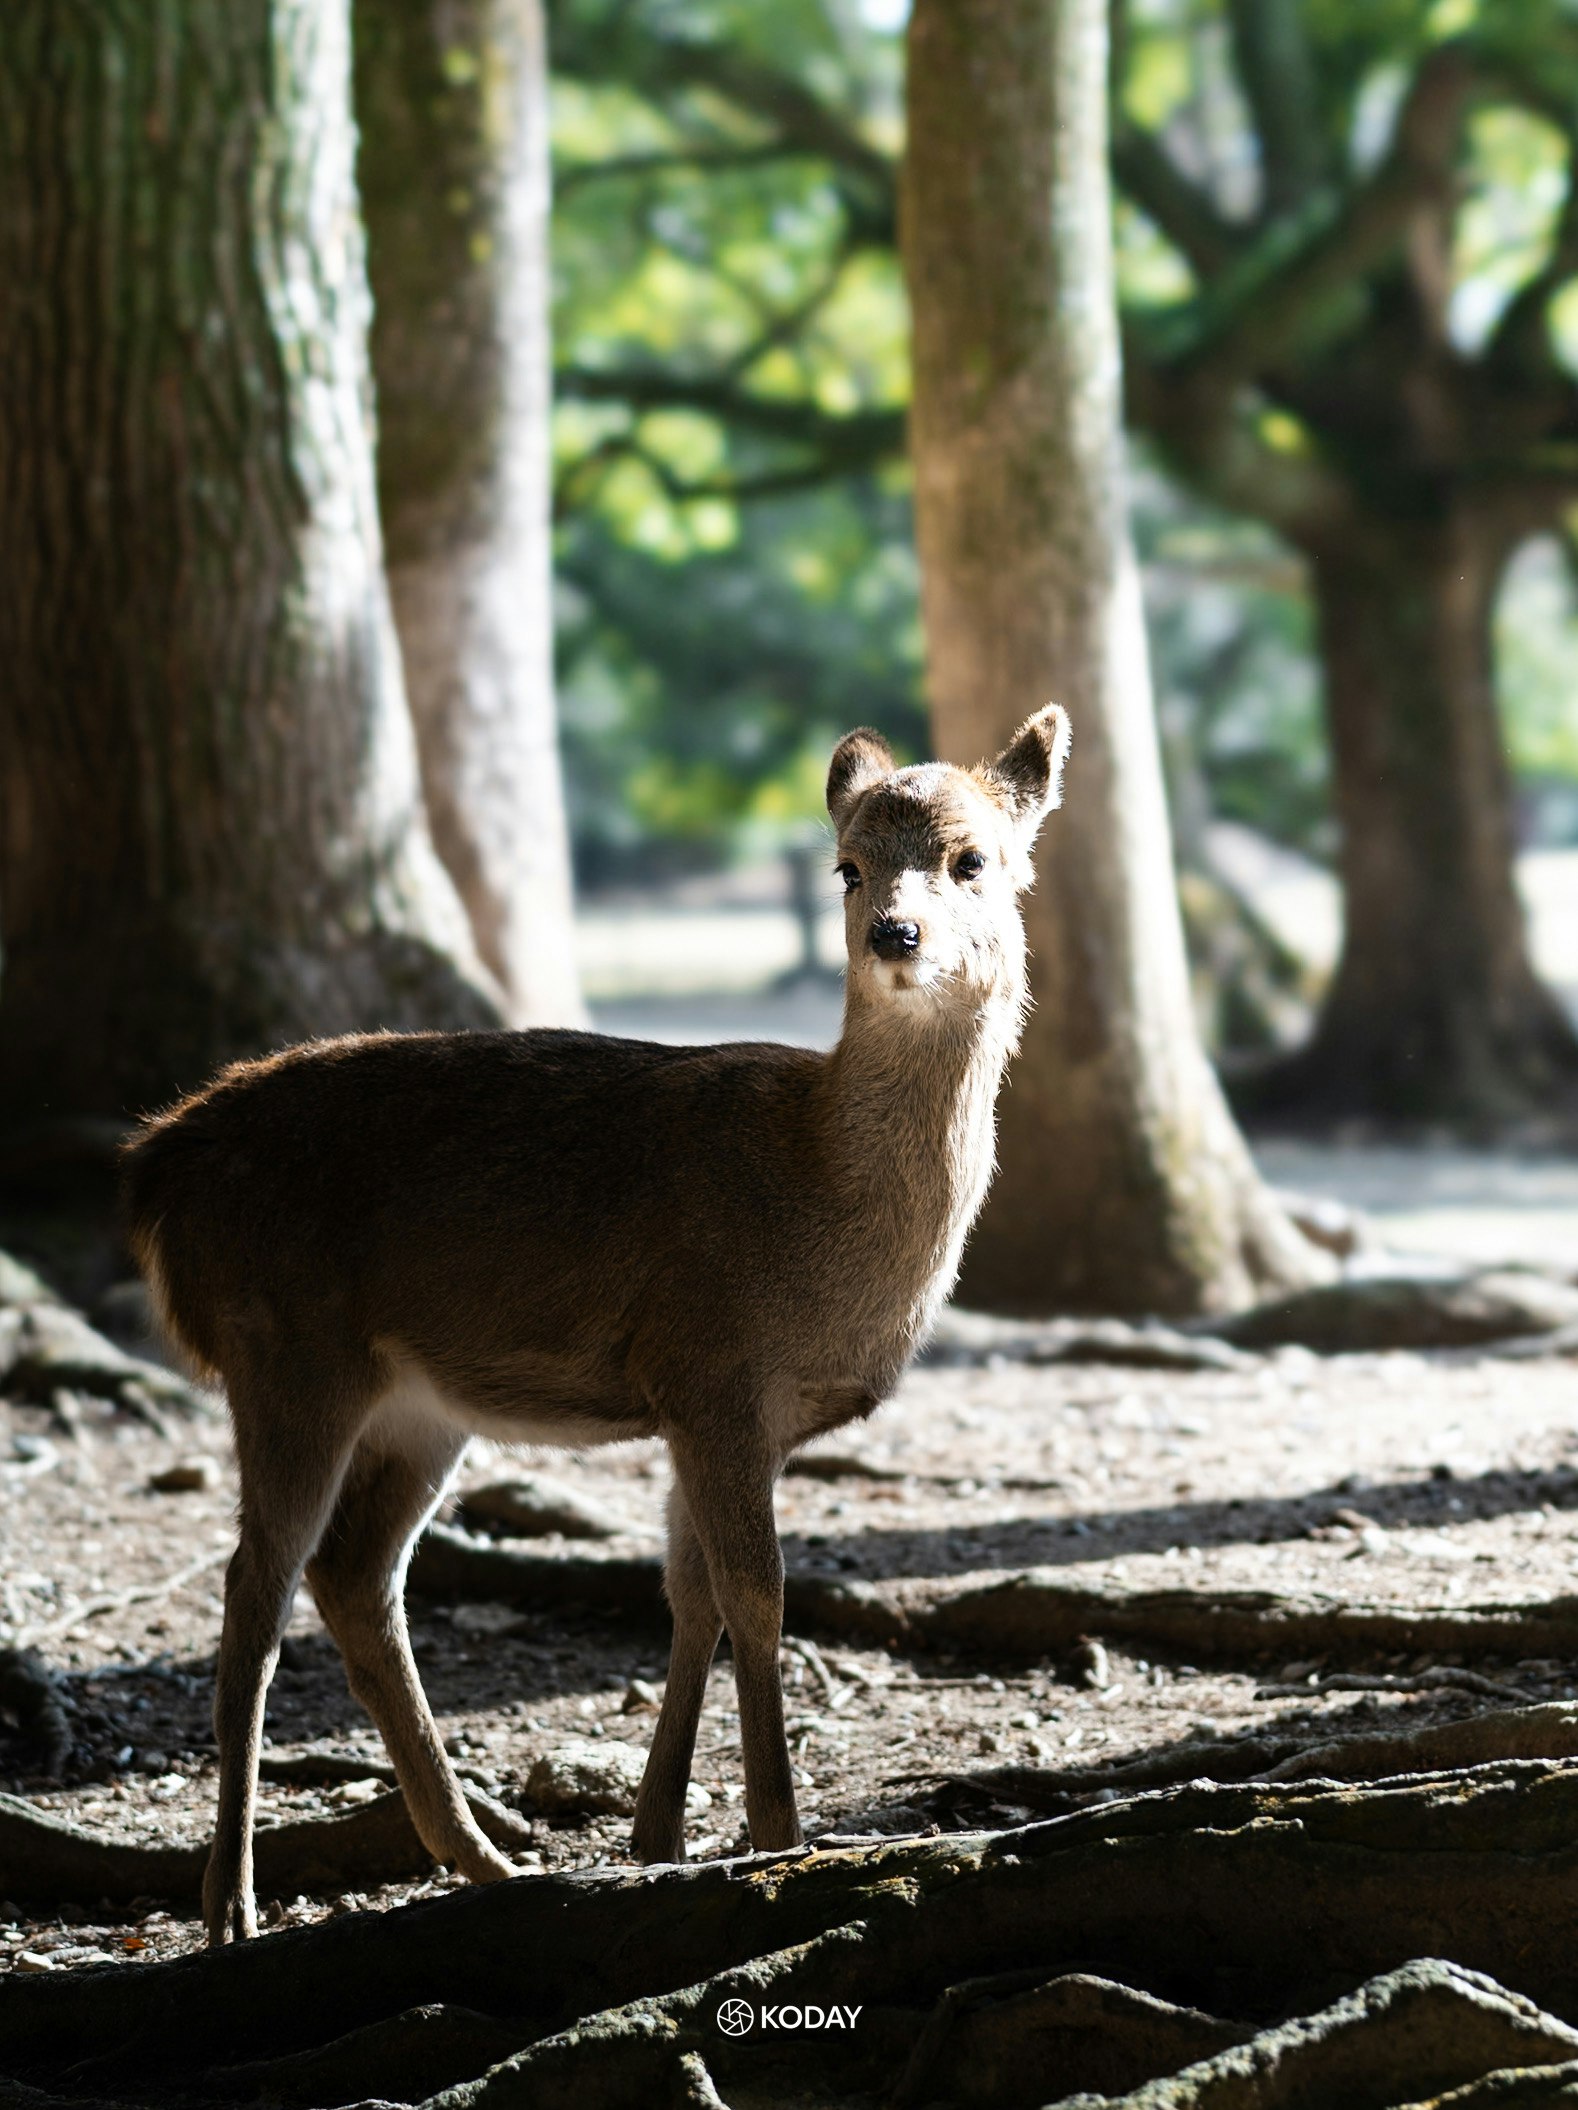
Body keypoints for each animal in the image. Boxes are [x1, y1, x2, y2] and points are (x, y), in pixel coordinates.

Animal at [120, 703, 1070, 1945]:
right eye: (848, 865)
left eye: (974, 860)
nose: (895, 933)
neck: (819, 1203)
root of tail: (153, 1171)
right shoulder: (711, 1363)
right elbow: (758, 1591)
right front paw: (780, 1829)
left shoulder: (722, 1408)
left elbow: (692, 1594)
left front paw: (657, 1835)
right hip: (283, 1346)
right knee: (254, 1587)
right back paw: (232, 1902)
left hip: (418, 1402)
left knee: (354, 1575)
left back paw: (483, 1858)